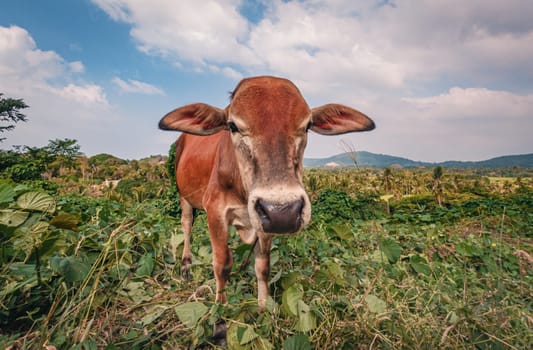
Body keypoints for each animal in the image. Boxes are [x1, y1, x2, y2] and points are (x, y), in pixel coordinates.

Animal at [158, 76, 374, 334]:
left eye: (307, 125)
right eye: (233, 126)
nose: (284, 211)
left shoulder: (265, 221)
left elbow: (263, 267)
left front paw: (263, 309)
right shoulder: (215, 212)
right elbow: (222, 265)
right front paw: (219, 316)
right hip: (184, 197)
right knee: (187, 225)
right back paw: (186, 264)